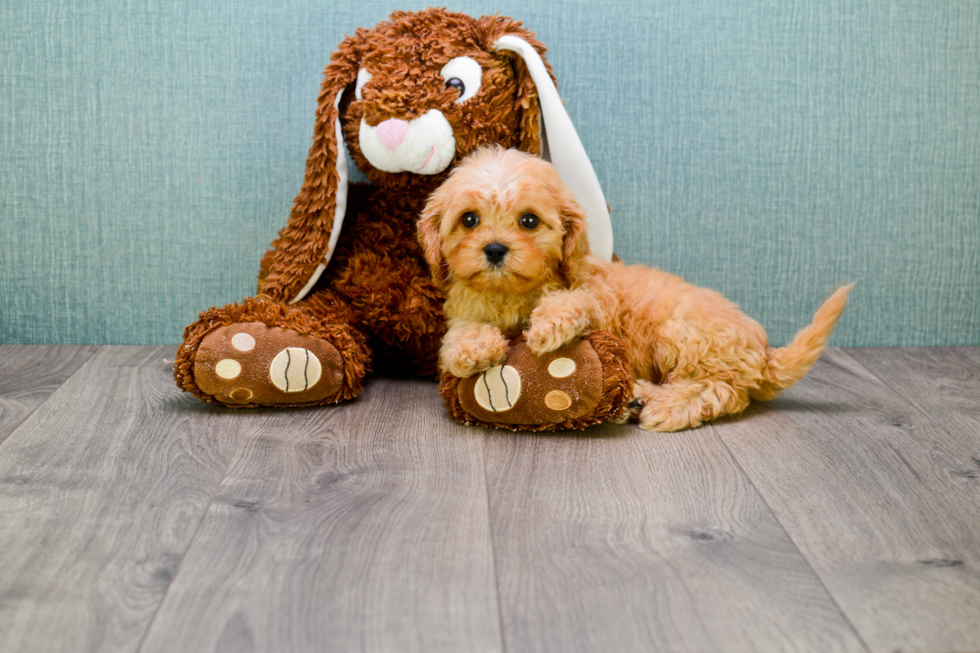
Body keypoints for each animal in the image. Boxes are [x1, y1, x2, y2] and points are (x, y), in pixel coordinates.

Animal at [418, 148, 852, 432]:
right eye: (469, 219)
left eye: (529, 220)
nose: (494, 249)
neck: (509, 294)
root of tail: (763, 355)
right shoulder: (464, 310)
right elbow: (459, 334)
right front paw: (473, 349)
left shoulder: (596, 296)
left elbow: (574, 299)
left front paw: (548, 325)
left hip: (683, 334)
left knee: (718, 390)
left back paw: (657, 403)